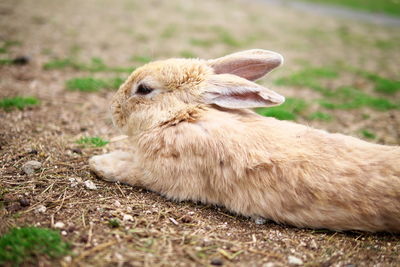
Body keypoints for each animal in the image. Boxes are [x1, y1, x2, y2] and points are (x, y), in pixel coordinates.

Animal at [90, 49, 400, 232]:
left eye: (144, 89)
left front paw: (99, 162)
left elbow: (129, 170)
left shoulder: (159, 175)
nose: (113, 108)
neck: (181, 116)